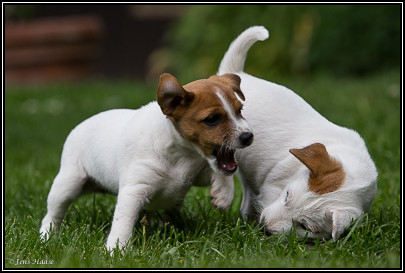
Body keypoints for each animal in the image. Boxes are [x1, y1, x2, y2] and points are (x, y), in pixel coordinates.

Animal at [38, 71, 252, 249]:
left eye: (240, 111)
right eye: (212, 119)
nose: (248, 136)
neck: (181, 154)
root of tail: (81, 124)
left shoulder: (196, 174)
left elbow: (222, 171)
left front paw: (223, 193)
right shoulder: (134, 190)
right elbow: (123, 222)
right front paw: (116, 250)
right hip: (69, 183)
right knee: (53, 213)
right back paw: (47, 235)